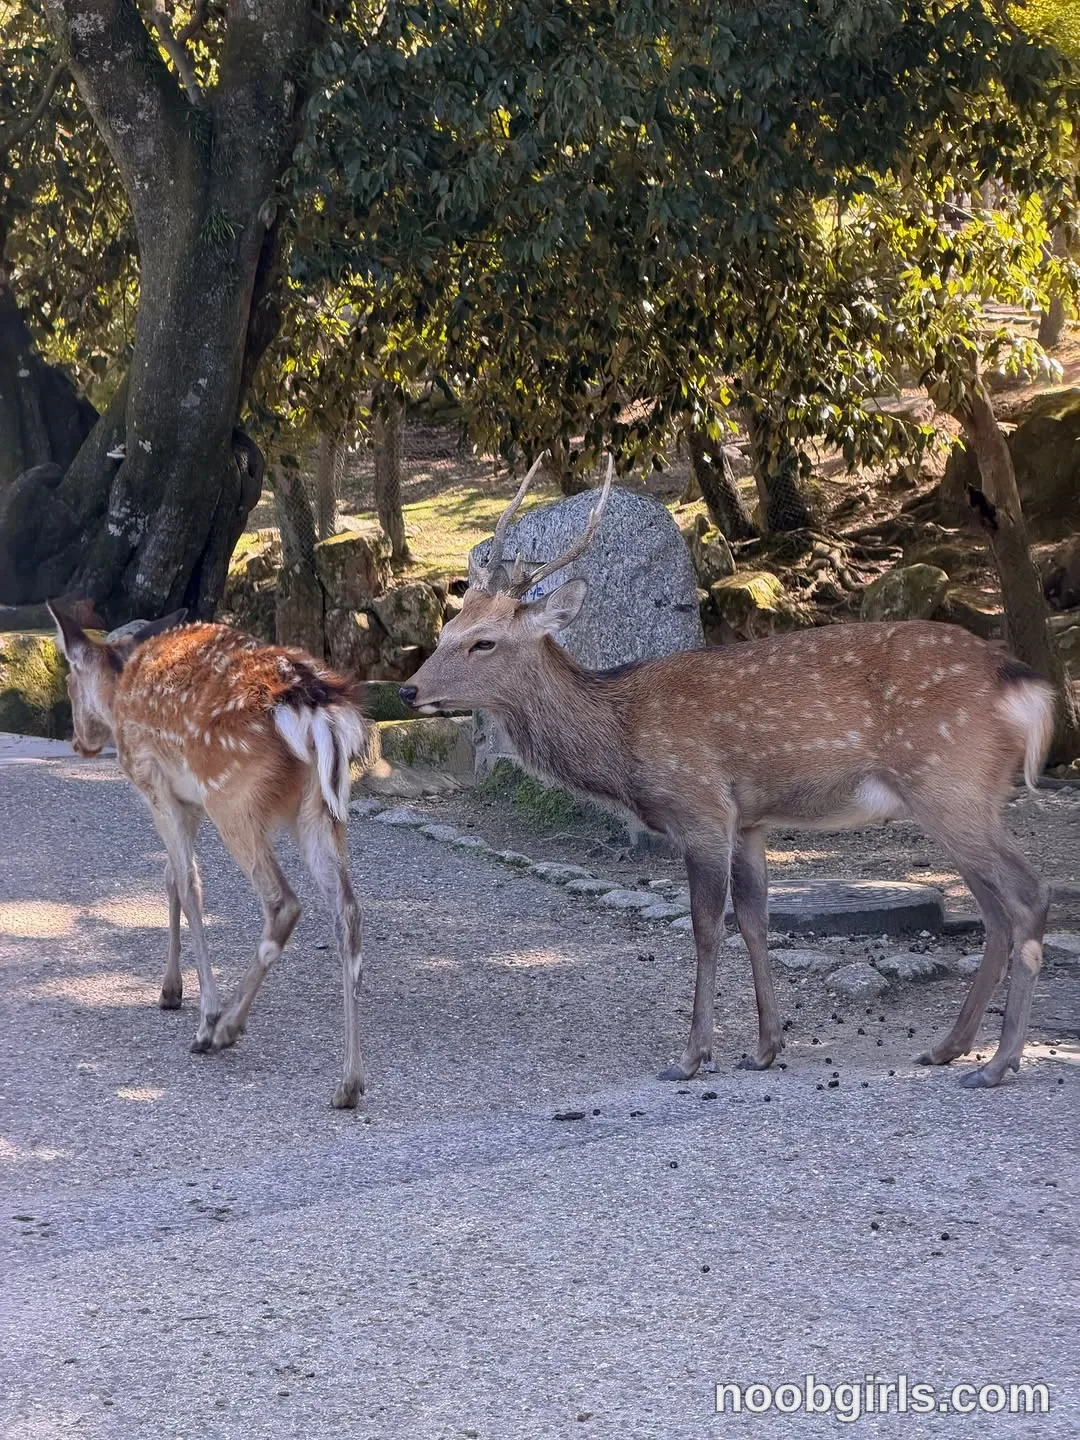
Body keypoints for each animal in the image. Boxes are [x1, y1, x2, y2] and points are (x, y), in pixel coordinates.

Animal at [48, 603, 368, 1109]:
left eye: (67, 680)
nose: (80, 743)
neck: (119, 689)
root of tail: (317, 707)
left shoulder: (156, 786)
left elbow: (188, 883)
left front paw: (204, 1010)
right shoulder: (189, 804)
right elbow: (169, 877)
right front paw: (169, 991)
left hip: (231, 794)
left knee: (283, 901)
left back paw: (223, 1029)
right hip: (320, 808)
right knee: (349, 912)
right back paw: (349, 1084)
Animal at [400, 457, 1055, 1090]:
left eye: (483, 642)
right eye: (446, 630)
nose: (408, 690)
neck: (622, 738)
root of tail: (1025, 685)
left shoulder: (702, 807)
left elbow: (706, 927)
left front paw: (693, 1057)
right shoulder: (750, 821)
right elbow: (754, 921)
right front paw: (765, 1049)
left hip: (952, 783)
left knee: (1027, 894)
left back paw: (999, 1063)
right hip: (958, 798)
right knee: (995, 911)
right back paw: (948, 1048)